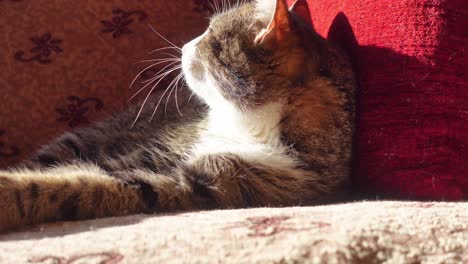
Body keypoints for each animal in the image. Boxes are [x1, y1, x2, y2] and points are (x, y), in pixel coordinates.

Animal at [0, 0, 354, 231]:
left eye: (210, 37)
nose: (184, 46)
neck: (245, 124)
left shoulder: (205, 181)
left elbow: (77, 185)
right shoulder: (159, 147)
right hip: (81, 138)